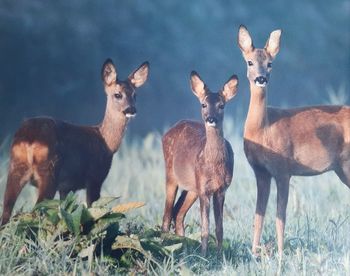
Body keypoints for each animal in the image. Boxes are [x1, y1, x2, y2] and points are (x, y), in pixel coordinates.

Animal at [0, 58, 149, 224]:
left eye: (135, 95)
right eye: (117, 94)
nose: (131, 110)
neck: (107, 143)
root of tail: (30, 138)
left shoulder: (66, 187)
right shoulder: (95, 178)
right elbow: (92, 209)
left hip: (15, 167)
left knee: (6, 211)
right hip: (49, 172)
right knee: (36, 210)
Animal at [161, 70, 238, 256]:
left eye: (221, 105)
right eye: (203, 104)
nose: (211, 119)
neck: (214, 165)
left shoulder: (221, 189)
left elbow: (219, 228)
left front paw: (219, 255)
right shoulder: (204, 188)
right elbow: (205, 228)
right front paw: (204, 256)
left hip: (191, 188)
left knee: (178, 213)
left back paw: (182, 247)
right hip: (171, 176)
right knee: (167, 215)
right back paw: (165, 247)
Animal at [238, 24, 350, 260]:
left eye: (270, 63)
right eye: (249, 62)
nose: (261, 78)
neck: (263, 129)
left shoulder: (283, 170)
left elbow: (280, 216)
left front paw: (280, 254)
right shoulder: (260, 172)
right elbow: (258, 216)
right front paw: (253, 254)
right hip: (341, 169)